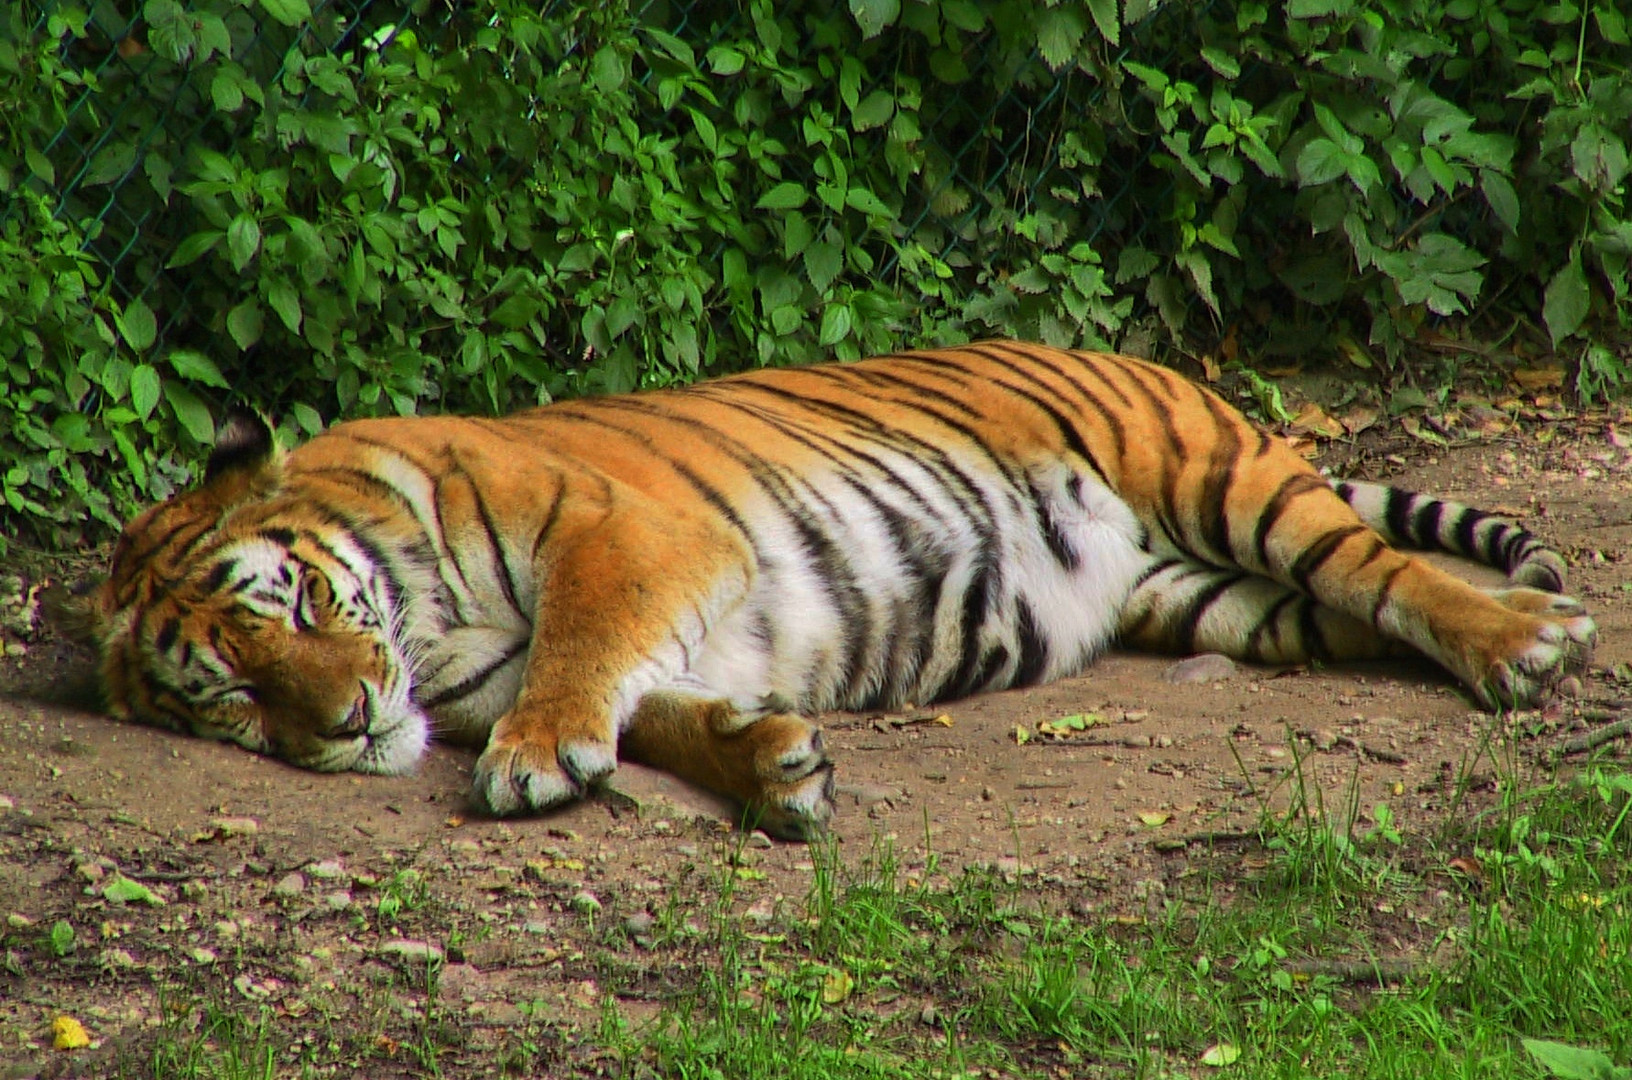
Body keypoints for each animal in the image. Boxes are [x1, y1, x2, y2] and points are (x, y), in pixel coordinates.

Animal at [79, 342, 1592, 841]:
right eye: (231, 696)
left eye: (289, 609)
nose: (345, 722)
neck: (423, 626)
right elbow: (658, 707)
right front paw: (771, 766)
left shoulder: (628, 537)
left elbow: (587, 654)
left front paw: (533, 762)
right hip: (1216, 597)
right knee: (1358, 609)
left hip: (1224, 480)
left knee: (1394, 569)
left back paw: (1533, 639)